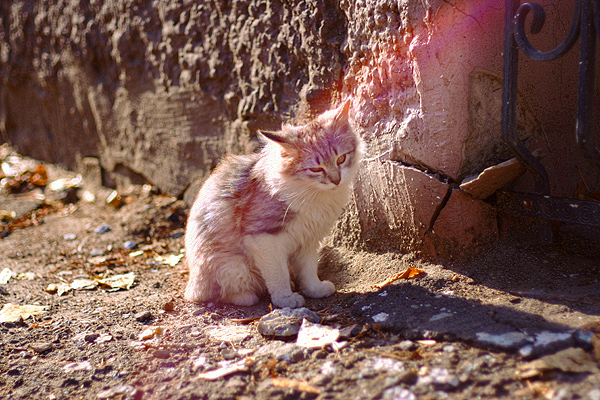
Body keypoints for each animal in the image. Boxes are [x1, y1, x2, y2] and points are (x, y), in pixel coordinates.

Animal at [183, 101, 360, 308]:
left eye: (341, 159)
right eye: (316, 169)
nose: (336, 180)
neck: (314, 195)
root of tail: (192, 283)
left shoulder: (309, 239)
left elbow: (308, 270)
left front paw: (315, 289)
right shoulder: (264, 238)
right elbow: (279, 275)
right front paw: (285, 299)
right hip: (232, 265)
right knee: (209, 294)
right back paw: (245, 296)